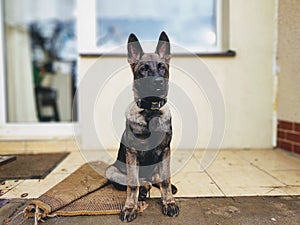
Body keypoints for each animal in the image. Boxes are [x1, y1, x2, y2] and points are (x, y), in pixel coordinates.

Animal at [106, 31, 178, 221]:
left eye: (162, 67)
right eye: (144, 69)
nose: (158, 82)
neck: (150, 113)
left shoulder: (165, 151)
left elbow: (165, 180)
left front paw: (169, 202)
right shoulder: (133, 153)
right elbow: (133, 184)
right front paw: (130, 207)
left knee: (158, 180)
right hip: (111, 170)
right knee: (139, 183)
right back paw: (144, 190)